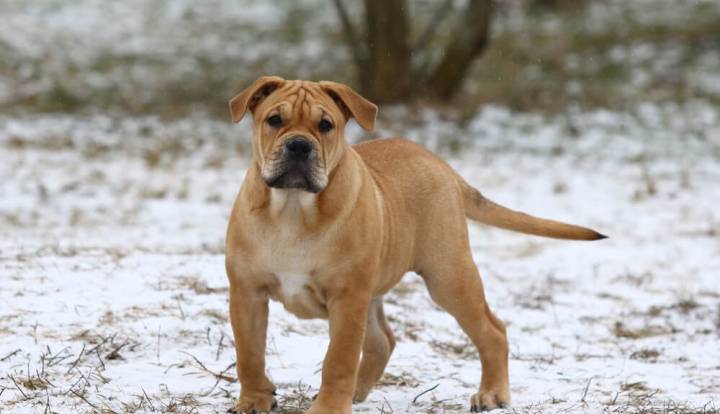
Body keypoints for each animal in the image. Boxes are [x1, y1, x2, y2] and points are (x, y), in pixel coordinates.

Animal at [225, 76, 608, 412]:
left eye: (326, 125)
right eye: (274, 120)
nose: (299, 145)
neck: (292, 209)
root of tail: (442, 165)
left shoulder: (347, 299)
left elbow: (338, 360)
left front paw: (329, 408)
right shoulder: (247, 293)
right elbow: (249, 355)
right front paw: (254, 401)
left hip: (448, 277)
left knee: (492, 331)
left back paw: (491, 394)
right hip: (379, 291)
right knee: (383, 341)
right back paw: (358, 391)